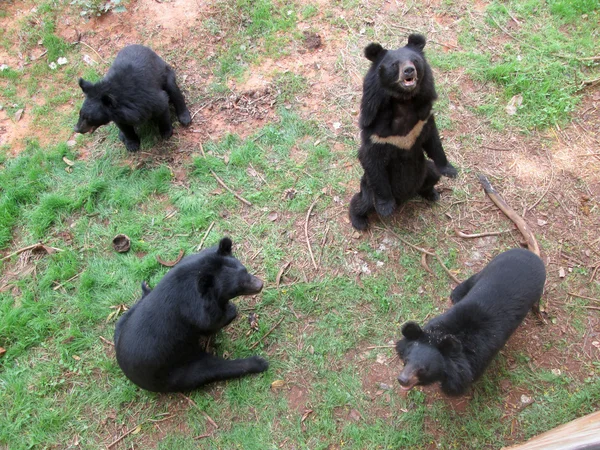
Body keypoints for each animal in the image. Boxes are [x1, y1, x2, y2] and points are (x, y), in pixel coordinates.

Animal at [113, 237, 268, 392]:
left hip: (121, 325)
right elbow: (212, 322)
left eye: (245, 270)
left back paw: (145, 288)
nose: (259, 285)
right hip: (175, 368)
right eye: (237, 287)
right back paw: (259, 362)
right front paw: (230, 309)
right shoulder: (195, 311)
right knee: (209, 369)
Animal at [350, 33, 458, 230]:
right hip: (368, 187)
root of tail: (407, 197)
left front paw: (450, 170)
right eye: (394, 65)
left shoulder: (423, 119)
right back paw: (359, 221)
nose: (409, 71)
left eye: (415, 61)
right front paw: (385, 207)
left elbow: (434, 142)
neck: (403, 102)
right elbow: (371, 159)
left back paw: (432, 194)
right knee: (362, 202)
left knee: (432, 177)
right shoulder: (376, 132)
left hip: (425, 170)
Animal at [396, 250, 548, 398]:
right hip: (492, 264)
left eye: (422, 369)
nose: (402, 379)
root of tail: (531, 254)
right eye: (406, 360)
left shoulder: (479, 358)